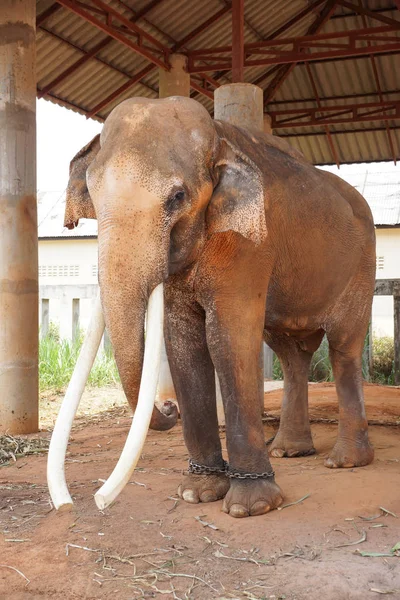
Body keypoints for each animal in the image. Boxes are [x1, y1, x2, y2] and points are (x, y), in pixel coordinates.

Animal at [62, 96, 376, 516]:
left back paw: (344, 462)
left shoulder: (249, 243)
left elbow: (227, 338)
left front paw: (250, 507)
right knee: (292, 352)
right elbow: (184, 343)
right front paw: (197, 493)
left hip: (360, 267)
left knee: (343, 347)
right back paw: (289, 451)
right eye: (93, 196)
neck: (218, 135)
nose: (167, 407)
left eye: (178, 197)